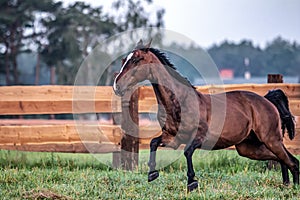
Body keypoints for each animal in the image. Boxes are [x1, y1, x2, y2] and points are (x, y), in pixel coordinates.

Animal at [112, 39, 298, 192]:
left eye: (136, 60)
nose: (116, 85)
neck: (181, 102)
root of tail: (267, 101)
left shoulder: (200, 137)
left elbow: (187, 152)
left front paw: (192, 182)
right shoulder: (171, 138)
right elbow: (153, 143)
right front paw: (152, 174)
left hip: (271, 139)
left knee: (291, 161)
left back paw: (293, 187)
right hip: (249, 148)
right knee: (283, 159)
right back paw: (286, 184)